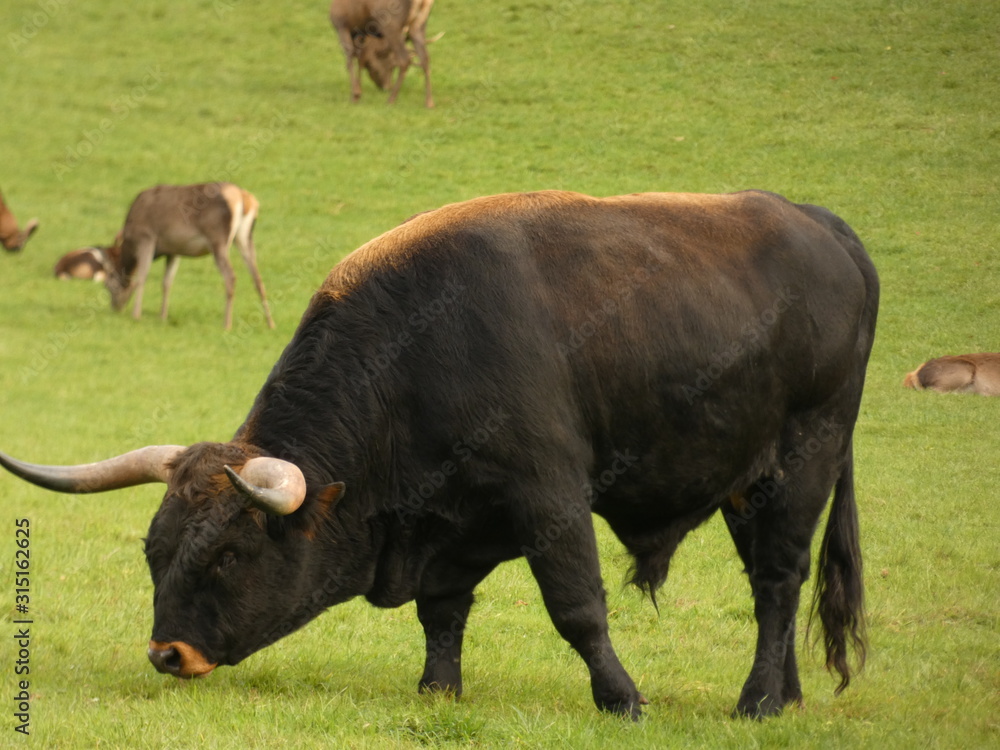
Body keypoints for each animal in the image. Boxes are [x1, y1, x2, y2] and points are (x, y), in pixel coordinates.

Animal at [0, 191, 876, 720]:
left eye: (229, 555)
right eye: (155, 552)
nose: (166, 653)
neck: (419, 351)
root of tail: (820, 223)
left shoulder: (551, 498)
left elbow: (577, 607)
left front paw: (621, 698)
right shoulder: (452, 521)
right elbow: (442, 611)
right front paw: (438, 690)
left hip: (806, 456)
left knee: (777, 581)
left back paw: (757, 700)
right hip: (747, 482)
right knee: (774, 581)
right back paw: (787, 696)